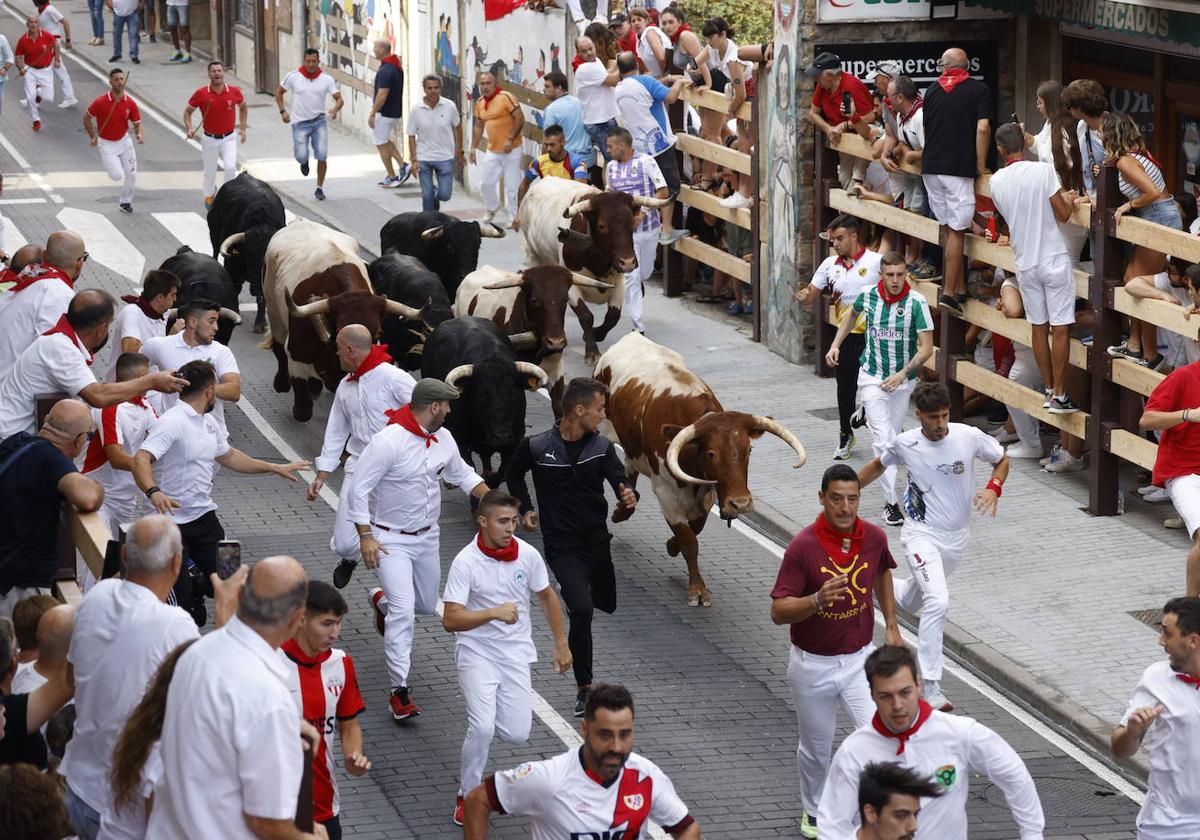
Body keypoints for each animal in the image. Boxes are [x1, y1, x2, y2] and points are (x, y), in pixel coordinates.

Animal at [261, 218, 422, 420]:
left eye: (378, 332)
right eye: (340, 330)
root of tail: (301, 221)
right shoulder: (297, 352)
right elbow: (303, 410)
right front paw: (302, 403)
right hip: (273, 309)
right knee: (278, 346)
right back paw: (282, 383)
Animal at [516, 175, 672, 362]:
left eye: (632, 223)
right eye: (602, 226)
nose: (627, 262)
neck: (599, 261)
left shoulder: (619, 282)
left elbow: (613, 316)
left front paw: (597, 334)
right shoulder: (571, 283)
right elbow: (586, 316)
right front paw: (592, 351)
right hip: (534, 255)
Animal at [592, 331, 806, 607]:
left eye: (749, 450)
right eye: (711, 453)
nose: (740, 503)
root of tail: (631, 336)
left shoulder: (707, 494)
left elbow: (695, 529)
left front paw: (672, 545)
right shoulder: (666, 494)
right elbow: (689, 540)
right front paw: (697, 590)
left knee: (630, 468)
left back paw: (623, 508)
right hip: (605, 430)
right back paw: (621, 510)